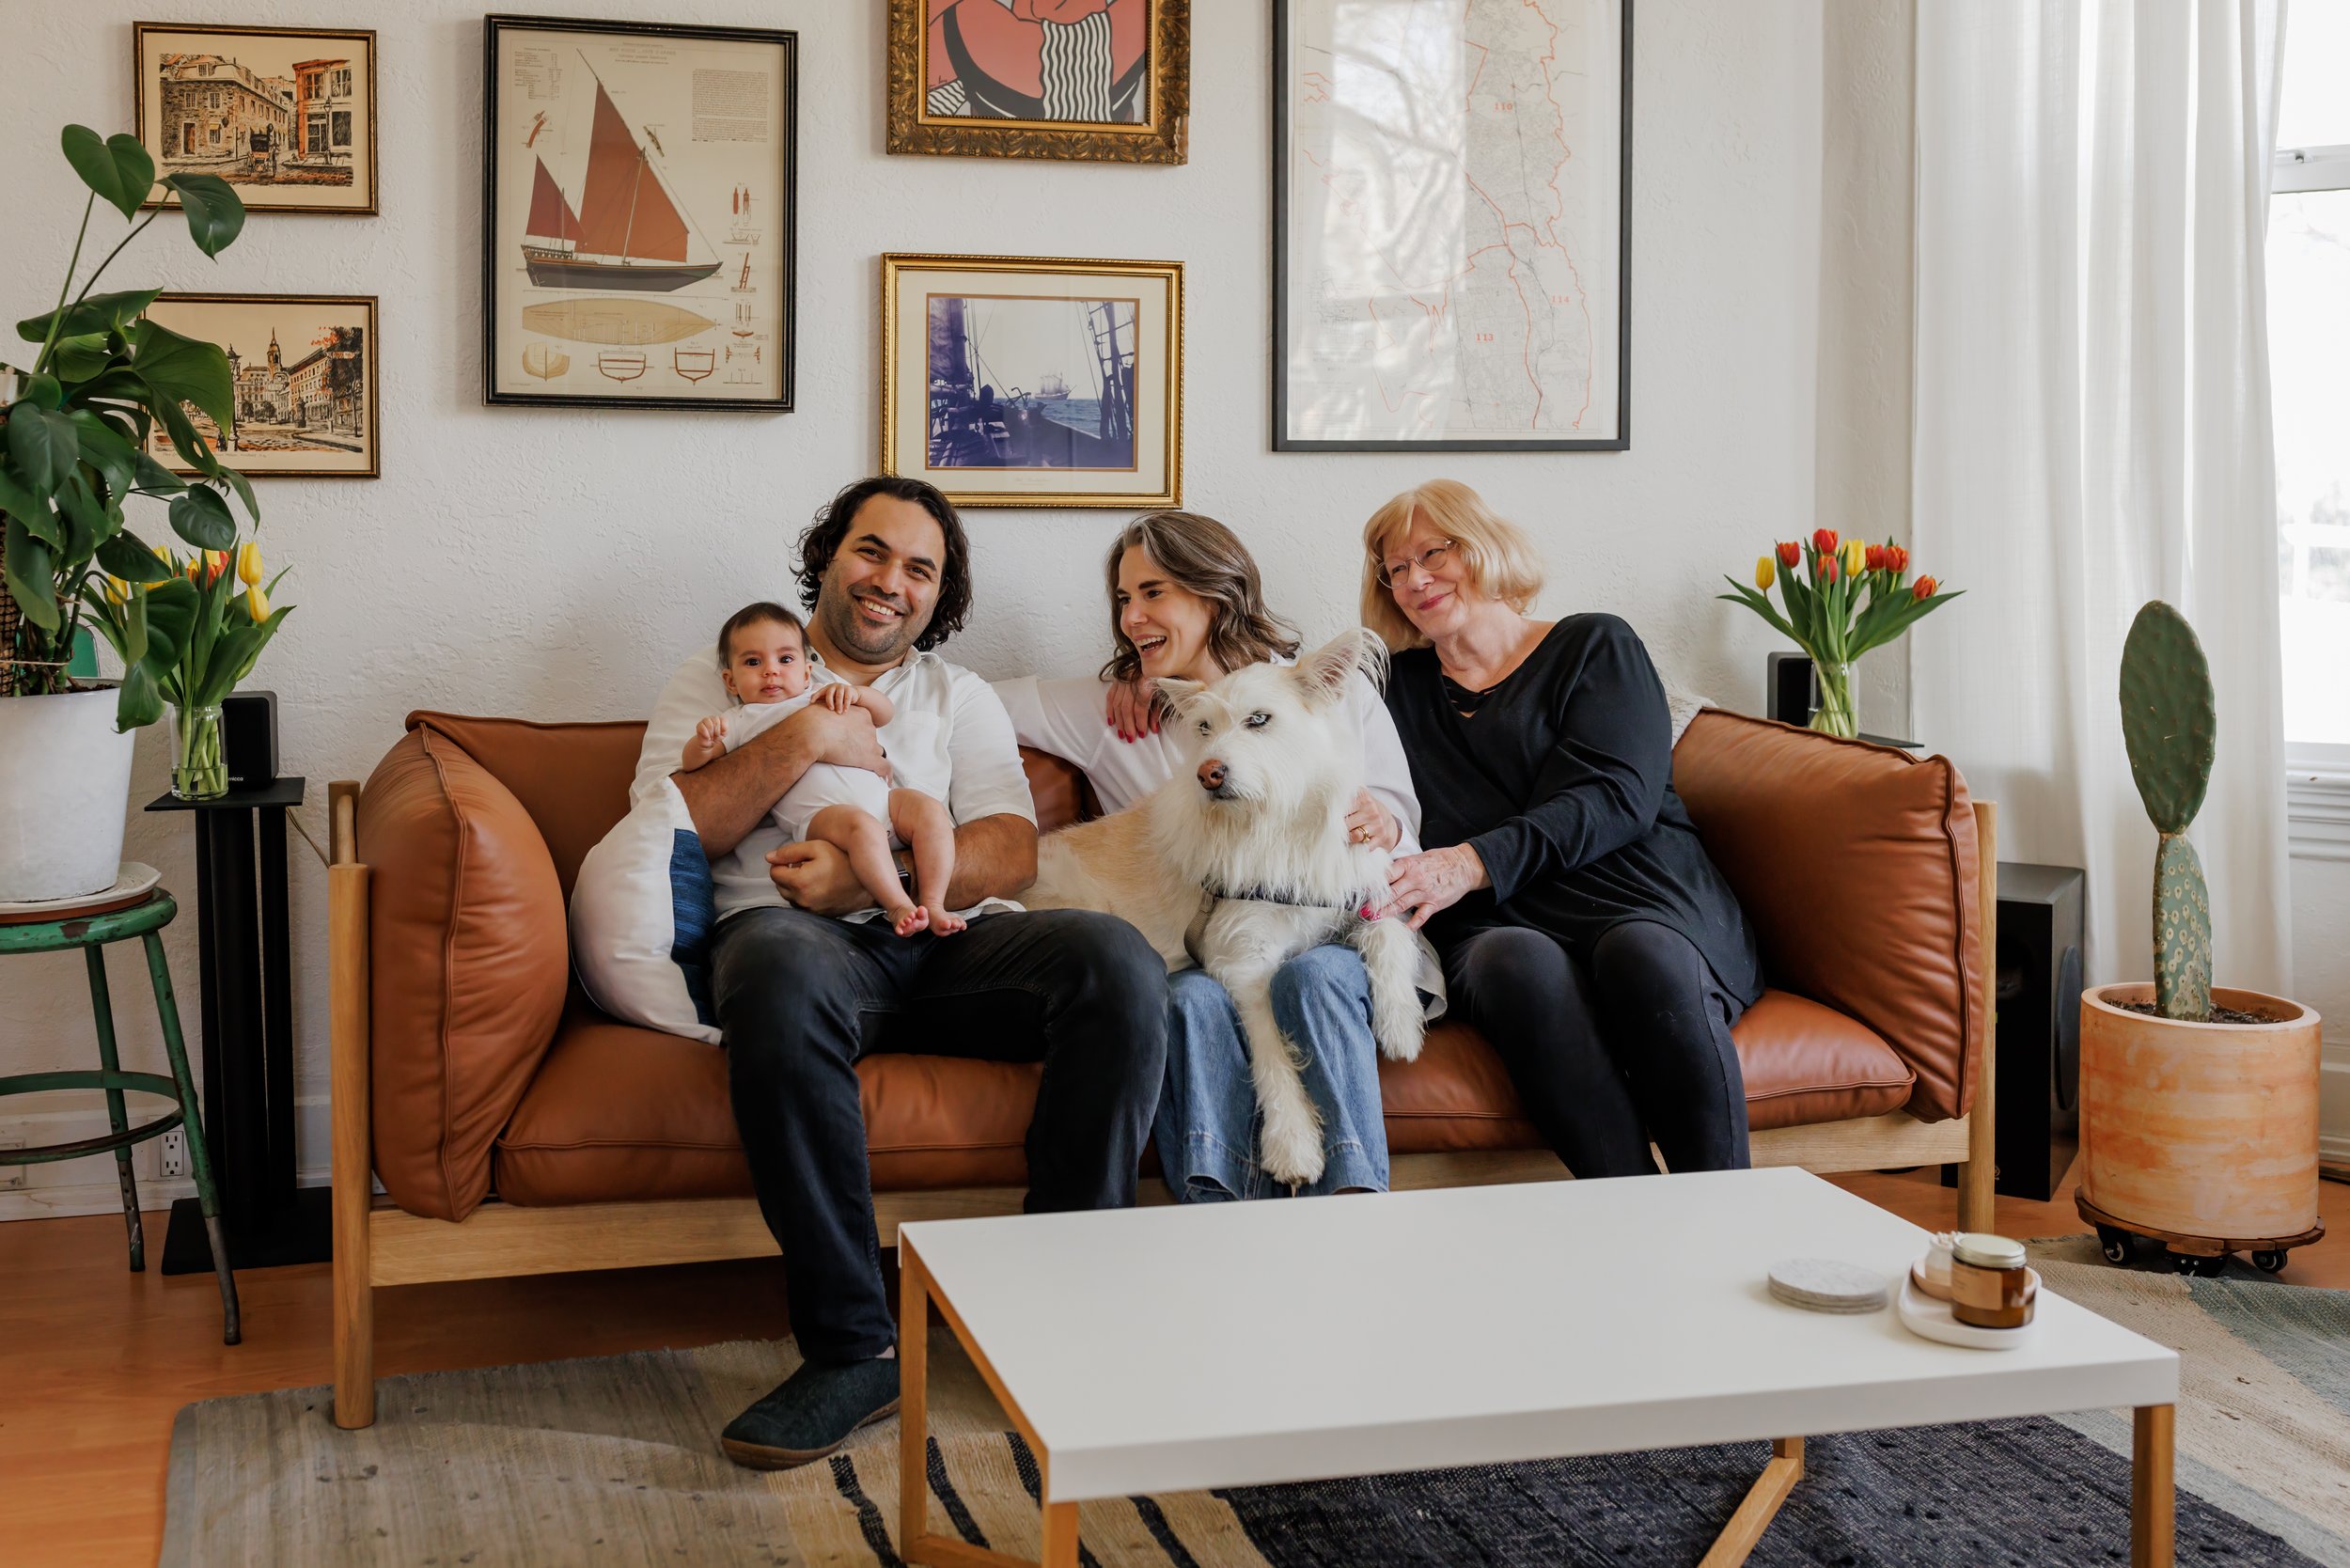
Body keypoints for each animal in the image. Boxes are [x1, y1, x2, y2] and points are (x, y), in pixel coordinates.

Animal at [1034, 630, 1429, 1184]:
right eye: (1203, 727)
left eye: (1259, 720)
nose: (1209, 773)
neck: (1272, 821)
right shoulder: (1244, 961)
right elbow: (1270, 1047)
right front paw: (1292, 1142)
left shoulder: (1354, 886)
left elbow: (1387, 929)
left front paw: (1400, 1024)